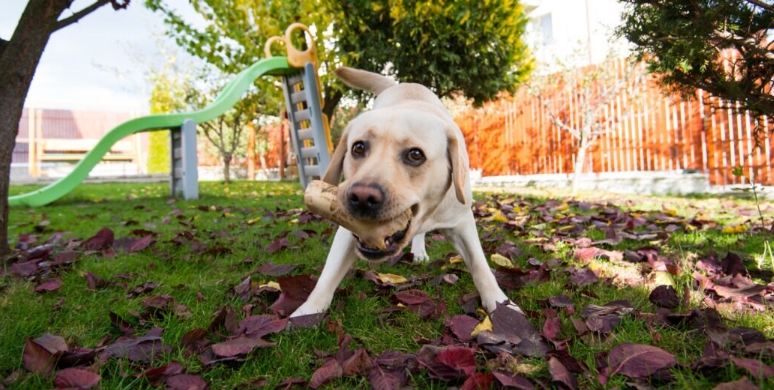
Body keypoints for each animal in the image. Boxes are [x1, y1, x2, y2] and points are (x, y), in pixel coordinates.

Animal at [292, 66, 520, 316]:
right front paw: (307, 312)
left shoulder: (462, 221)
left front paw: (501, 304)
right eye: (358, 147)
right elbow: (329, 274)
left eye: (415, 154)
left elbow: (480, 265)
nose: (361, 197)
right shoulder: (347, 229)